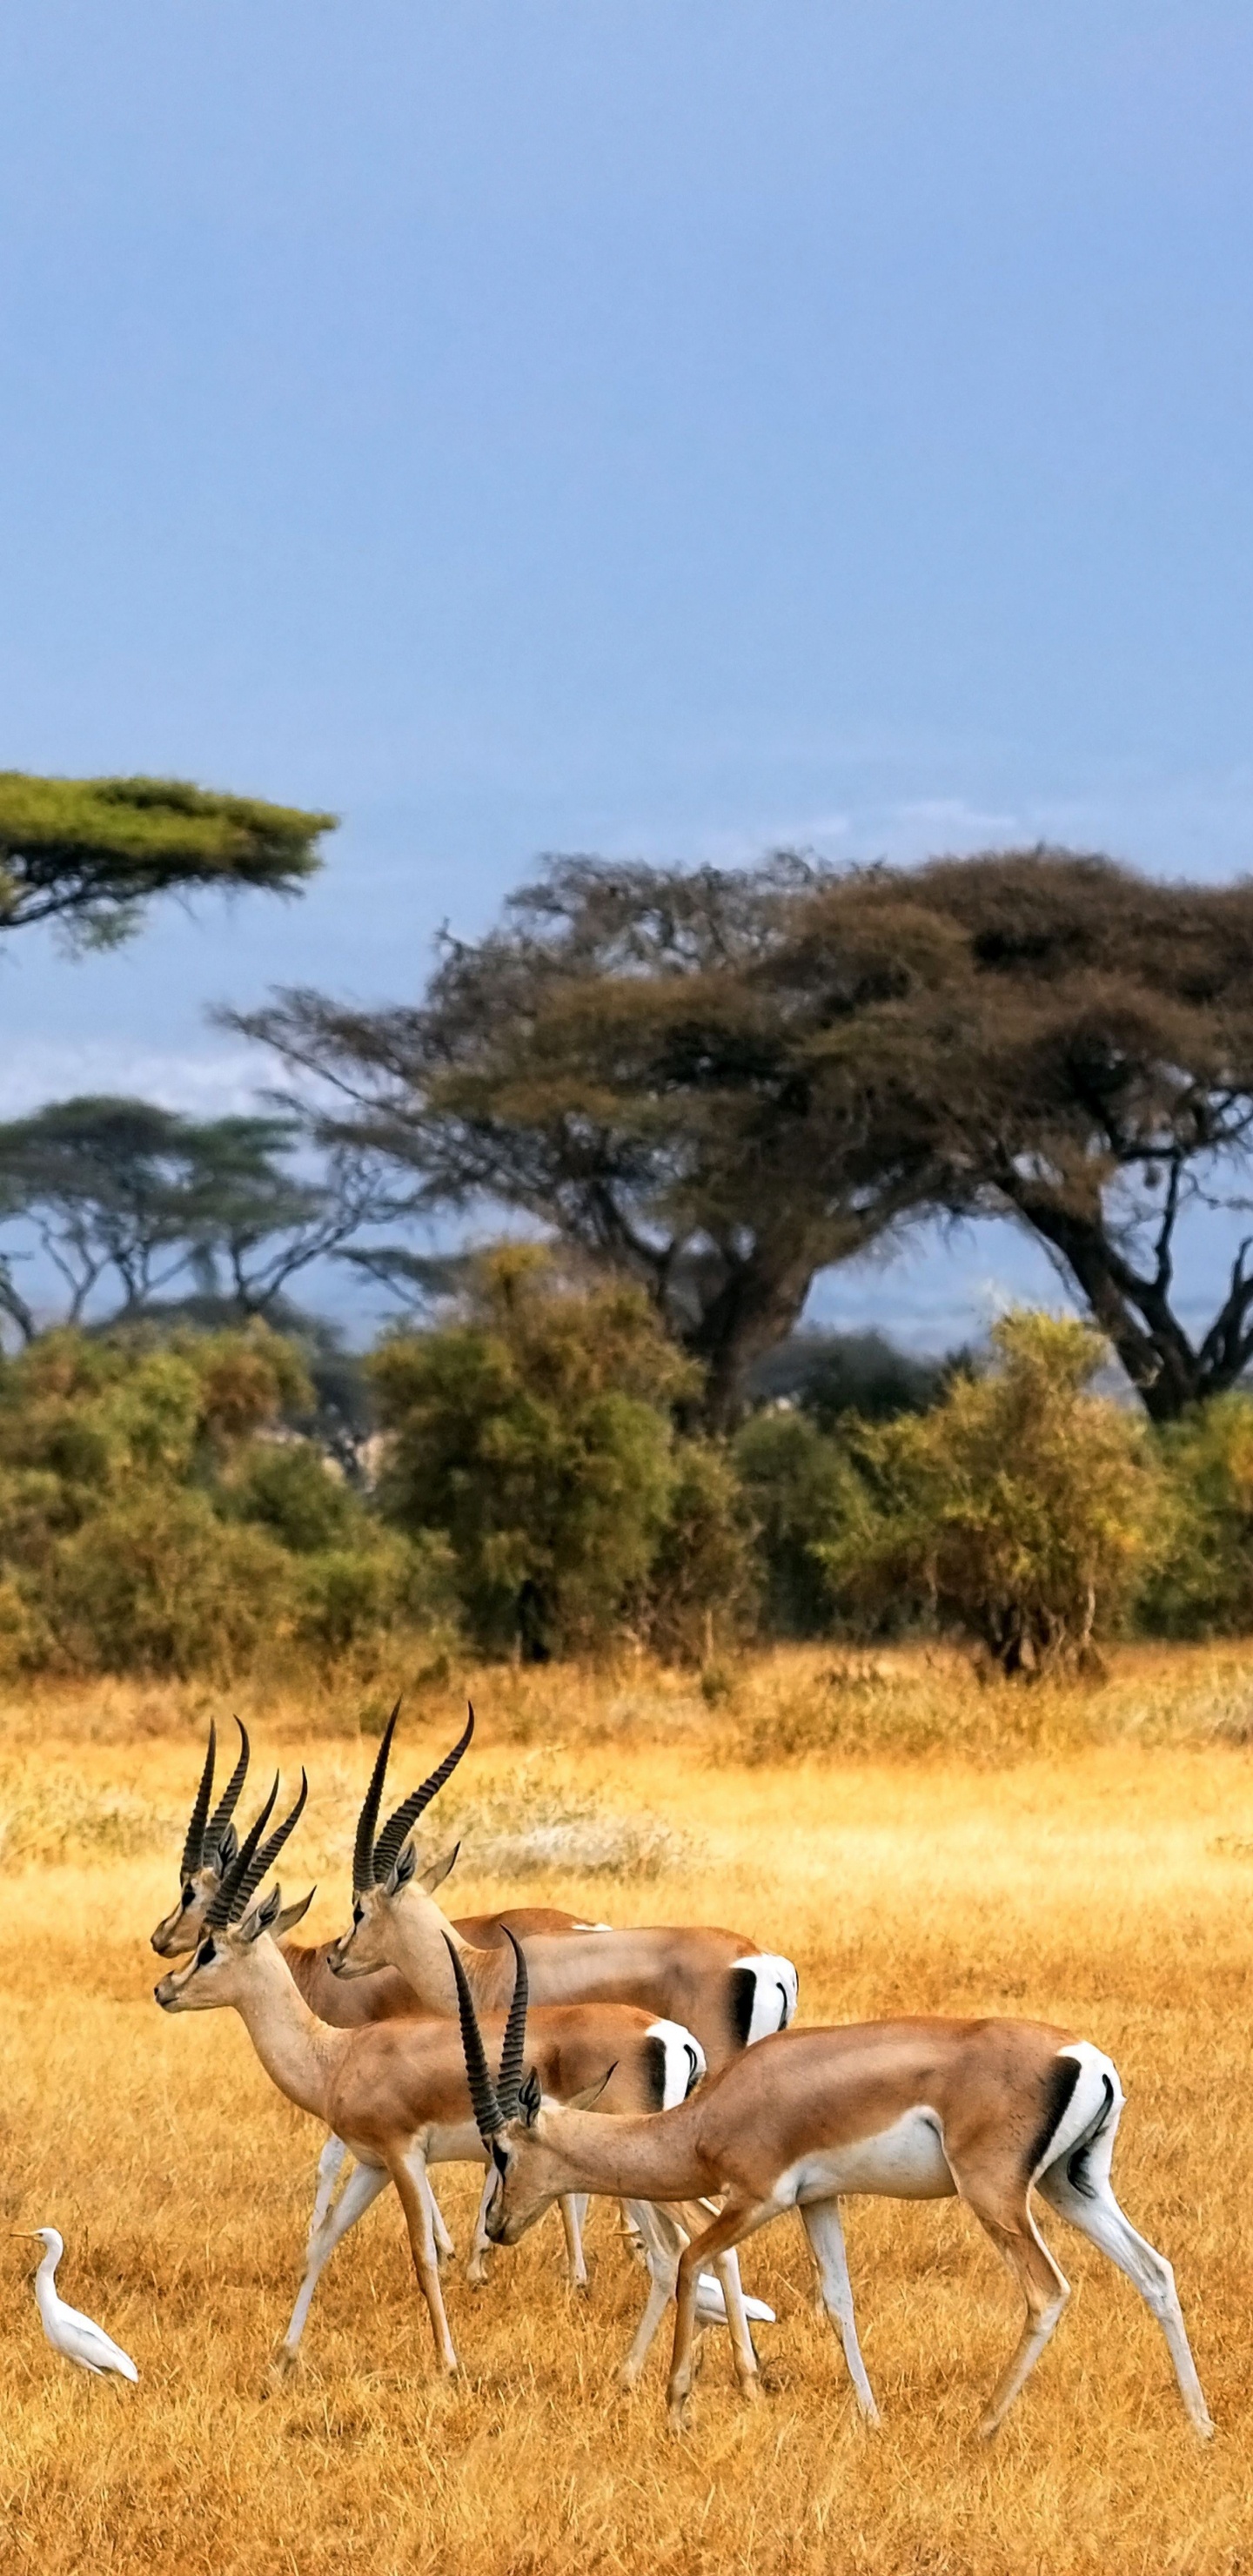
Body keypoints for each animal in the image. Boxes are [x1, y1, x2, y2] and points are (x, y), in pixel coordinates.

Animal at [153, 1774, 764, 2383]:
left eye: (208, 1948)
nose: (164, 1987)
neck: (337, 2054)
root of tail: (673, 2036)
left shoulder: (403, 2157)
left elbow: (423, 2253)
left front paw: (448, 2361)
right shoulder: (372, 2164)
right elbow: (323, 2242)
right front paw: (283, 2358)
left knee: (679, 2246)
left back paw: (678, 2369)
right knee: (697, 2243)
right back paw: (700, 2368)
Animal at [447, 1933, 1215, 2442]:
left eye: (502, 2151)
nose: (498, 2227)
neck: (710, 2114)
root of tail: (1086, 2057)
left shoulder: (757, 2199)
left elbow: (693, 2259)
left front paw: (677, 2409)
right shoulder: (820, 2201)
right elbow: (838, 2300)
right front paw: (870, 2417)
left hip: (997, 2197)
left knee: (1048, 2290)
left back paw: (983, 2426)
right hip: (1072, 2186)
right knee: (1155, 2271)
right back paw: (1201, 2426)